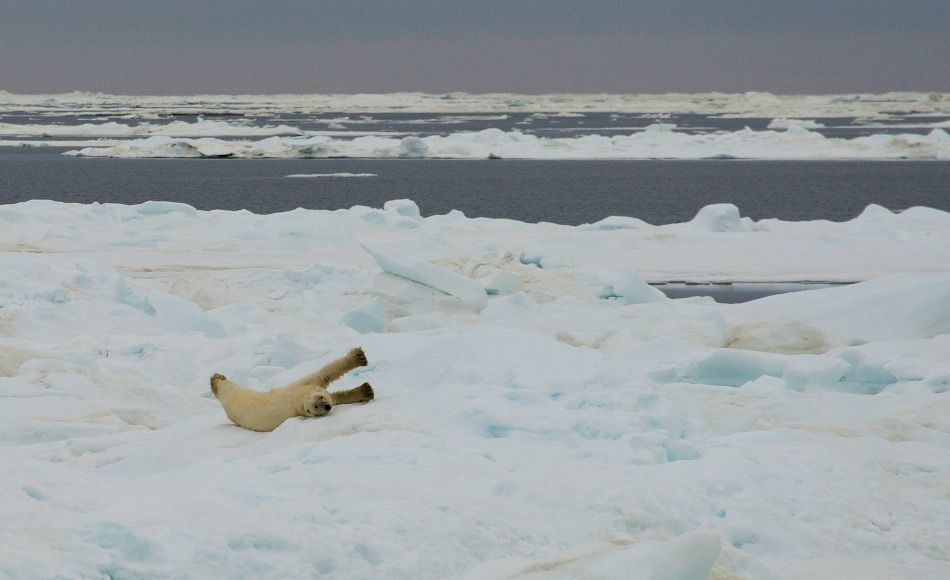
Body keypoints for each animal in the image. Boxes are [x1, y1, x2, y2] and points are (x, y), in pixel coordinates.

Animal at [210, 344, 374, 430]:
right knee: (228, 390)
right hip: (238, 398)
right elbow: (325, 374)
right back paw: (216, 380)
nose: (327, 407)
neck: (297, 402)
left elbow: (332, 391)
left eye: (321, 398)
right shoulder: (300, 387)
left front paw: (365, 391)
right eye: (316, 408)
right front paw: (358, 357)